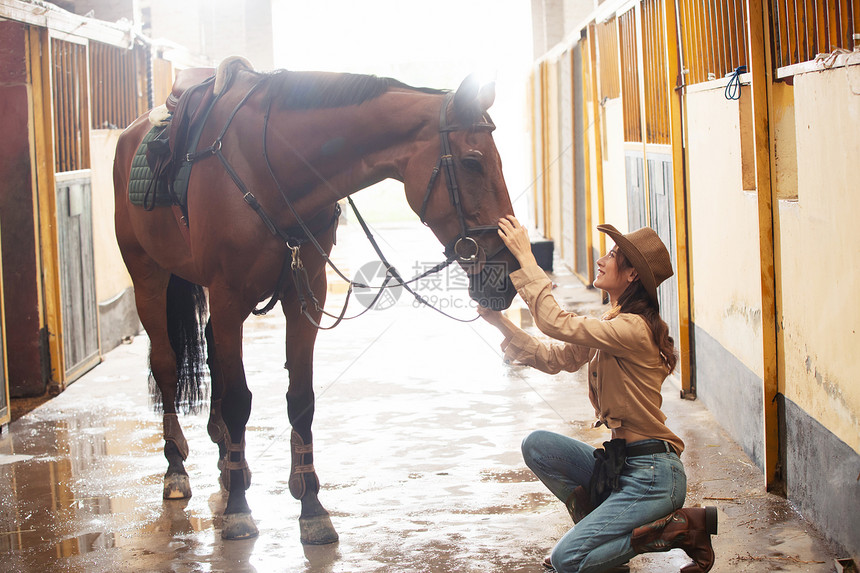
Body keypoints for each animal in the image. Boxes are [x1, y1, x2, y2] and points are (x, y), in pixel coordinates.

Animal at [113, 62, 516, 540]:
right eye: (473, 162)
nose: (509, 270)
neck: (270, 167)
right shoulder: (229, 296)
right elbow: (239, 401)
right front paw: (238, 509)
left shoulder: (304, 293)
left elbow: (299, 398)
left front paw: (311, 506)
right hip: (148, 275)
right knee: (166, 364)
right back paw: (177, 468)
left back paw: (228, 462)